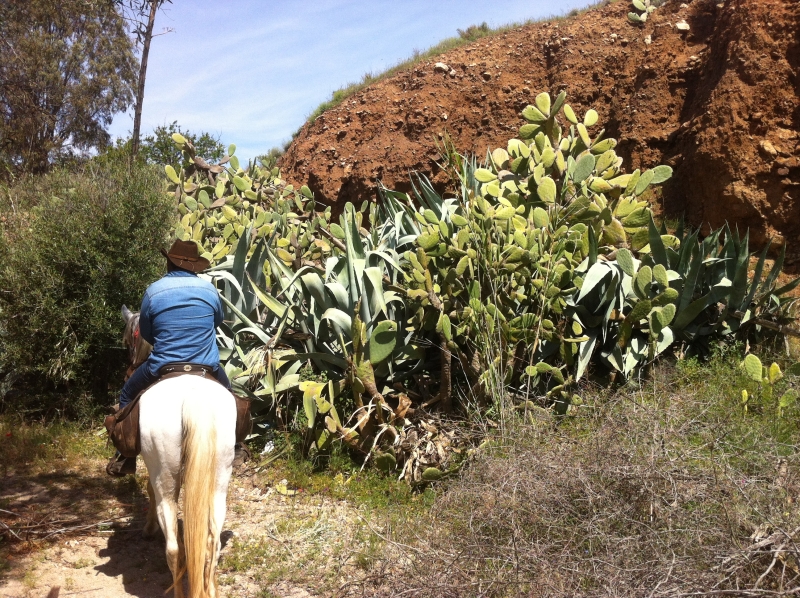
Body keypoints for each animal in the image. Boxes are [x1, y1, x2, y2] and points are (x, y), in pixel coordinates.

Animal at [120, 310, 236, 598]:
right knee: (212, 542)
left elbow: (149, 490)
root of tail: (193, 396)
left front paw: (148, 529)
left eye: (129, 340)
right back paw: (210, 587)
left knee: (173, 548)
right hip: (219, 480)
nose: (130, 365)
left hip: (166, 479)